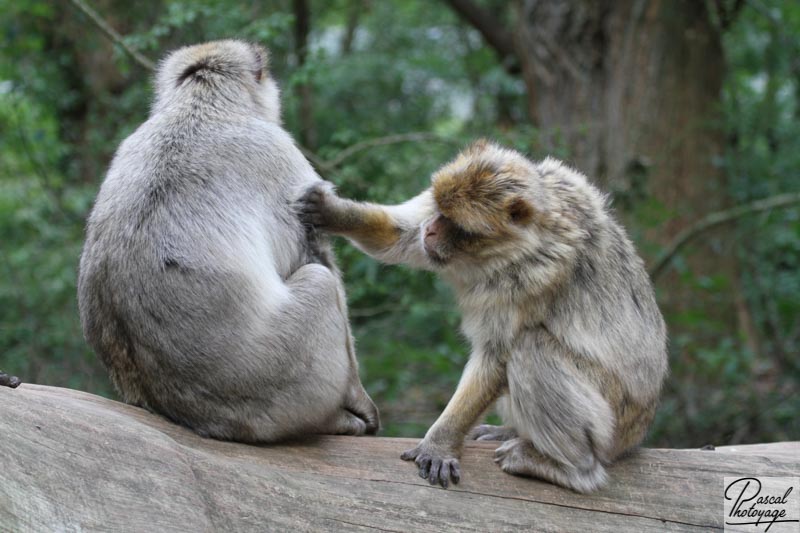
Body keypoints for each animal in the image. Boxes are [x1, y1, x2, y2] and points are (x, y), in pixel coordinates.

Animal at [79, 40, 380, 440]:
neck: (199, 106)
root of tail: (204, 418)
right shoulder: (280, 154)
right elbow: (312, 253)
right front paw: (360, 397)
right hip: (285, 385)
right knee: (320, 280)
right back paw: (335, 419)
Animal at [300, 140, 668, 490]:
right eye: (439, 210)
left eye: (458, 226)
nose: (431, 230)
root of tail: (636, 433)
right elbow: (400, 236)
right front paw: (334, 212)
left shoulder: (533, 278)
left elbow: (496, 357)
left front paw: (439, 443)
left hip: (611, 423)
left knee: (531, 347)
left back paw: (571, 467)